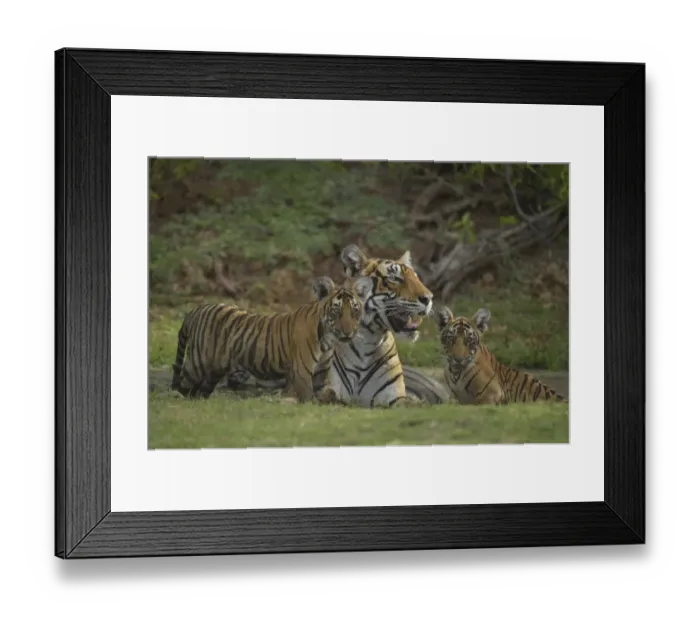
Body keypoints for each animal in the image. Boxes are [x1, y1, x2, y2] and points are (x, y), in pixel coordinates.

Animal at [170, 275, 373, 403]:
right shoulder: (302, 372)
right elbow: (307, 397)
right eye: (337, 311)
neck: (328, 339)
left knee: (199, 391)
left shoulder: (320, 372)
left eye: (354, 310)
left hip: (213, 371)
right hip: (198, 364)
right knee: (182, 382)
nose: (348, 332)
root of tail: (196, 310)